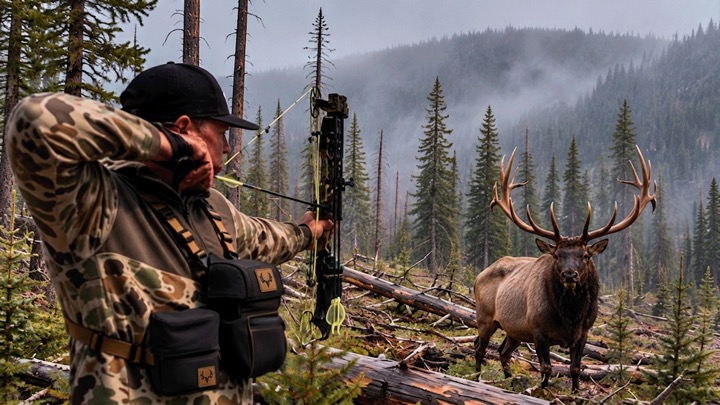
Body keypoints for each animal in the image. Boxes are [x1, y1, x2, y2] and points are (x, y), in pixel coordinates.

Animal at [473, 145, 656, 392]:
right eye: (557, 255)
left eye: (585, 255)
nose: (570, 274)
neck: (570, 315)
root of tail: (479, 276)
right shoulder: (538, 330)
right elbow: (547, 368)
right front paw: (542, 390)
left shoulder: (584, 331)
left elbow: (576, 368)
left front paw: (576, 391)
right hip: (485, 316)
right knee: (479, 348)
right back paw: (477, 378)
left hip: (514, 329)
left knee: (503, 352)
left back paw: (509, 381)